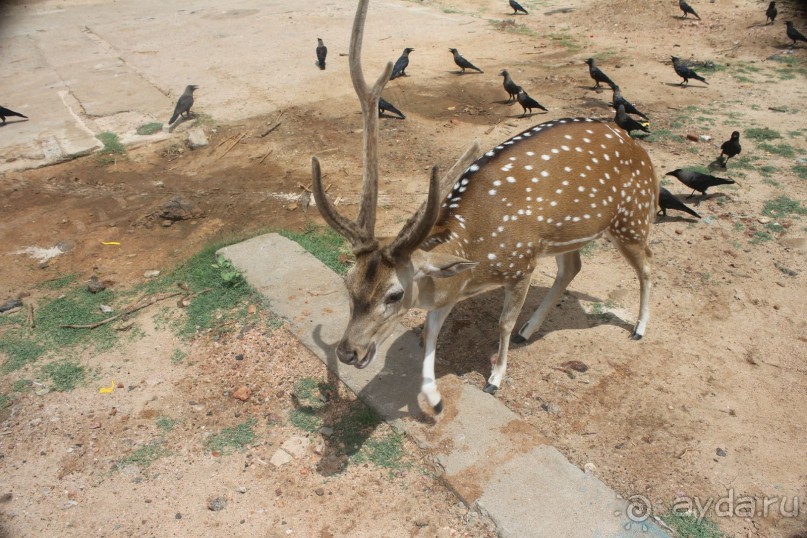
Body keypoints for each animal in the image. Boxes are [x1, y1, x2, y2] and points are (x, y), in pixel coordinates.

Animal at [312, 0, 660, 410]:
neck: (478, 251)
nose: (347, 351)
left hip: (633, 217)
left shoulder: (522, 262)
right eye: (348, 281)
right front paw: (432, 394)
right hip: (568, 233)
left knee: (647, 265)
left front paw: (495, 378)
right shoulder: (456, 282)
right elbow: (432, 331)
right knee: (573, 266)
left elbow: (502, 323)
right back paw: (531, 329)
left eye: (394, 294)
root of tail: (639, 148)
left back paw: (638, 328)